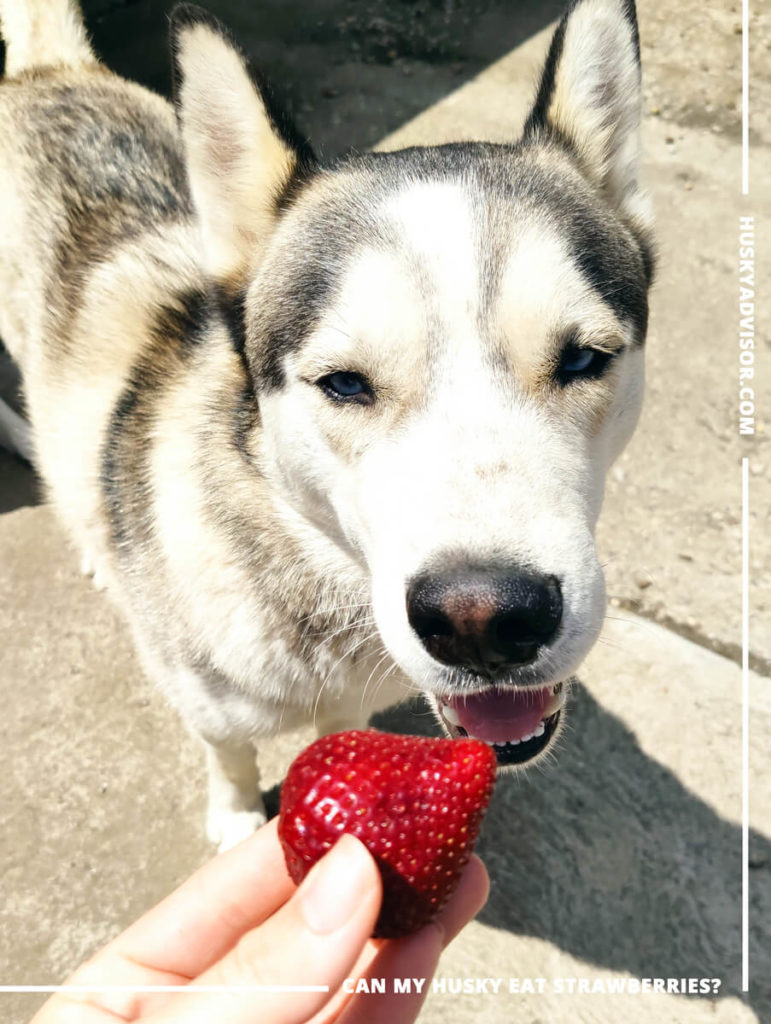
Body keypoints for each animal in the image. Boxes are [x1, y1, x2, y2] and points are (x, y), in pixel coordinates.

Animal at [0, 0, 651, 847]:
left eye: (580, 359)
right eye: (344, 382)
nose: (482, 620)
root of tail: (52, 72)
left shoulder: (348, 707)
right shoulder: (208, 708)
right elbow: (229, 755)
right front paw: (236, 819)